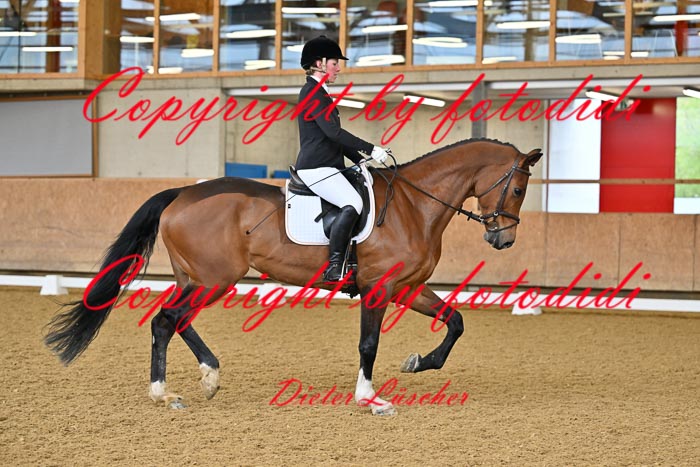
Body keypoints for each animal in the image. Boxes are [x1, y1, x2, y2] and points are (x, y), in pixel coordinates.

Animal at [45, 138, 542, 416]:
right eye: (518, 188)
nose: (503, 240)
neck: (413, 206)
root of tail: (182, 193)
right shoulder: (379, 290)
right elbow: (369, 343)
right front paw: (368, 398)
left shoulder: (408, 287)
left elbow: (456, 321)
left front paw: (419, 362)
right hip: (214, 278)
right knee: (169, 320)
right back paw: (173, 390)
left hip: (197, 278)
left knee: (171, 320)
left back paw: (197, 382)